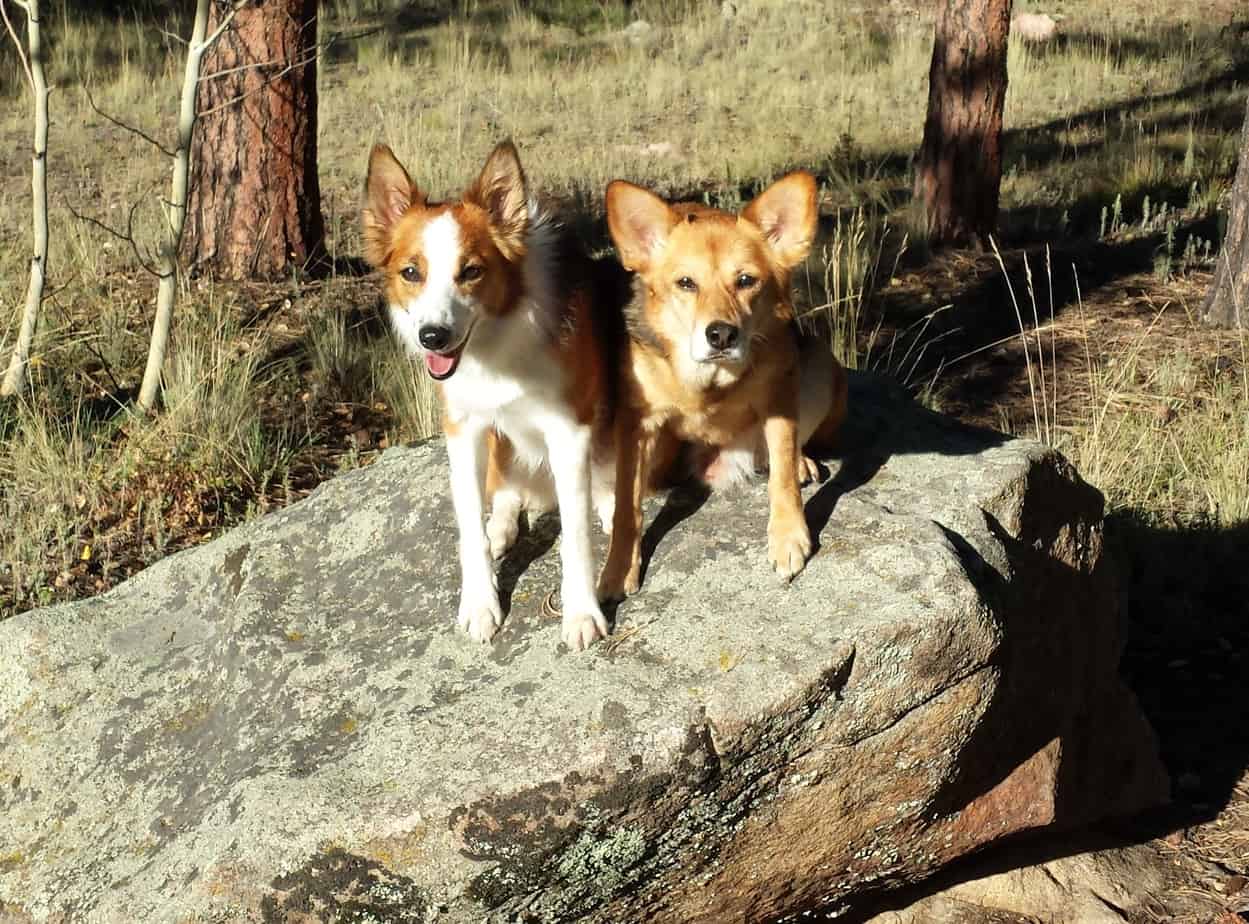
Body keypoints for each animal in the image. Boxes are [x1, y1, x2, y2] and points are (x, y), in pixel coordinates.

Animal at [594, 173, 849, 599]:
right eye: (685, 283)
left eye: (745, 281)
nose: (721, 335)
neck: (709, 383)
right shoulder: (637, 425)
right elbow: (626, 506)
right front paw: (618, 568)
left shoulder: (779, 397)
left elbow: (781, 475)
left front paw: (788, 536)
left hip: (819, 366)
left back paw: (802, 460)